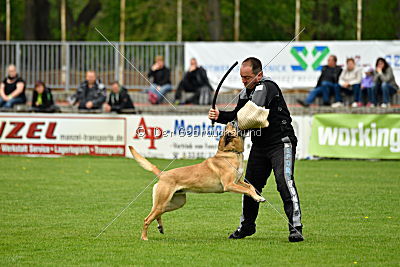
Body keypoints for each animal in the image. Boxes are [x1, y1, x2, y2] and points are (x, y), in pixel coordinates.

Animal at [130, 123, 264, 241]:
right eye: (228, 128)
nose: (231, 121)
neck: (230, 153)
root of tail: (163, 174)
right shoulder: (229, 185)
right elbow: (247, 189)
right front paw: (258, 198)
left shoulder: (238, 181)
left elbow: (250, 187)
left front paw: (258, 196)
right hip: (163, 202)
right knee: (147, 219)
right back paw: (144, 237)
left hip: (175, 203)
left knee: (157, 214)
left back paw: (160, 227)